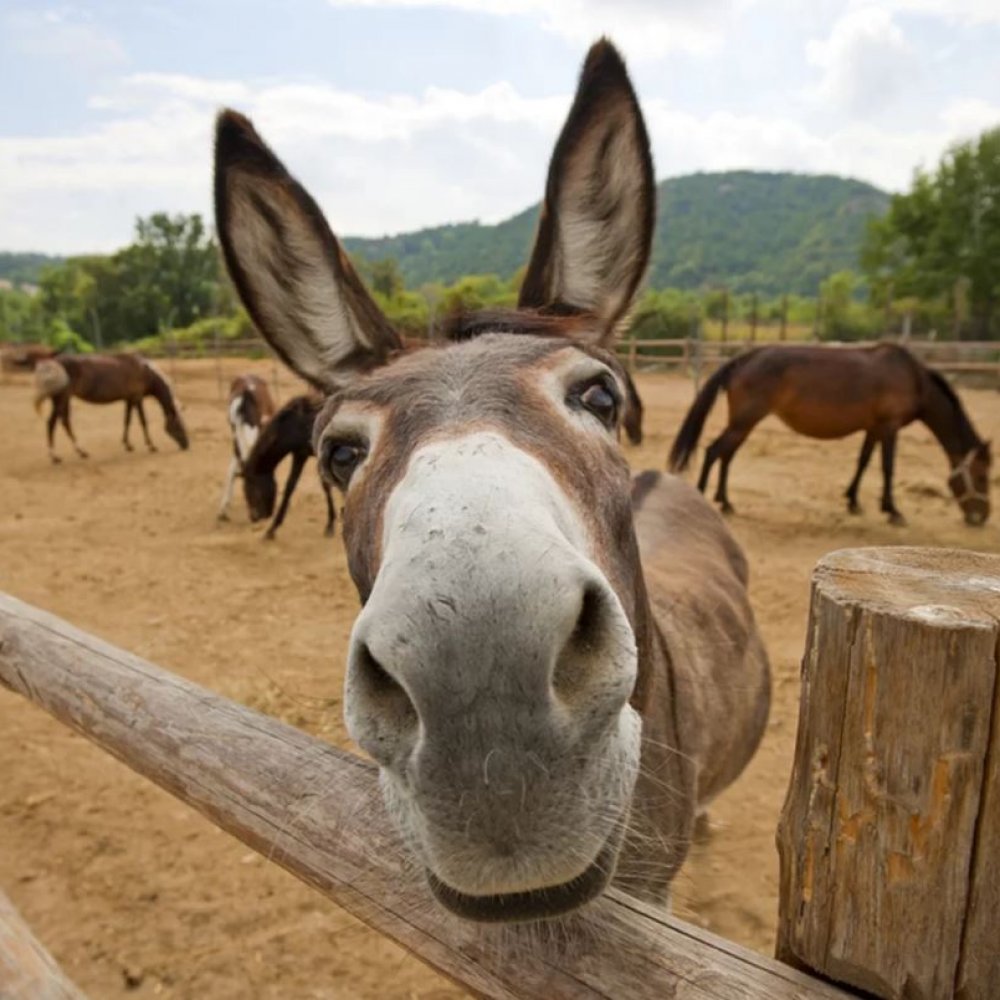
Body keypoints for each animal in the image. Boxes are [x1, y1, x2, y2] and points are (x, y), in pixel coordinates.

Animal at [33, 352, 189, 460]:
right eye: (178, 425)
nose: (187, 445)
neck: (145, 372)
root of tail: (53, 363)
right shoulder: (137, 399)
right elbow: (143, 421)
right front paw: (151, 446)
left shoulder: (129, 400)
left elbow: (127, 420)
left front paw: (128, 445)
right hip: (62, 399)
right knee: (57, 422)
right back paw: (65, 454)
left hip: (60, 400)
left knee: (59, 422)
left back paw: (70, 454)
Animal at [668, 342, 988, 528]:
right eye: (982, 475)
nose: (982, 517)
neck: (913, 378)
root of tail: (743, 359)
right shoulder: (889, 427)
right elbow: (887, 468)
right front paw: (893, 510)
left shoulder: (873, 428)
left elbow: (863, 462)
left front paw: (853, 501)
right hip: (744, 421)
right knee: (714, 451)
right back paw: (704, 499)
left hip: (744, 424)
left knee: (726, 455)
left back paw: (726, 502)